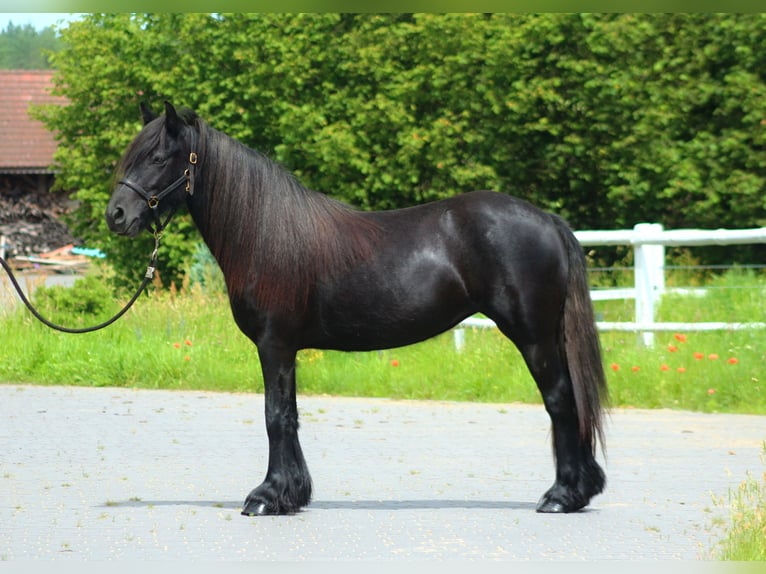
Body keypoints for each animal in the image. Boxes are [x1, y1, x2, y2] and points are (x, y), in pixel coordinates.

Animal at [108, 102, 608, 516]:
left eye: (157, 158)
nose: (116, 215)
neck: (264, 234)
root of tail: (548, 221)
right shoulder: (286, 349)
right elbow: (289, 415)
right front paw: (293, 493)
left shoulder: (274, 344)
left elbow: (275, 416)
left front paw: (267, 497)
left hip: (534, 336)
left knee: (561, 401)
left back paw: (562, 495)